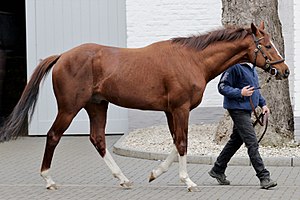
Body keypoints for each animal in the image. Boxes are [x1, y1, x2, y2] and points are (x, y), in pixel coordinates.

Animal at [0, 21, 288, 191]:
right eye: (267, 45)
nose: (284, 70)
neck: (191, 59)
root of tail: (62, 56)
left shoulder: (171, 111)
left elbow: (175, 143)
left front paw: (154, 173)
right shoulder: (180, 109)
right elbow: (182, 143)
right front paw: (188, 181)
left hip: (97, 106)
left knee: (98, 139)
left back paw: (123, 179)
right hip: (70, 108)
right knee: (53, 136)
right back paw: (48, 179)